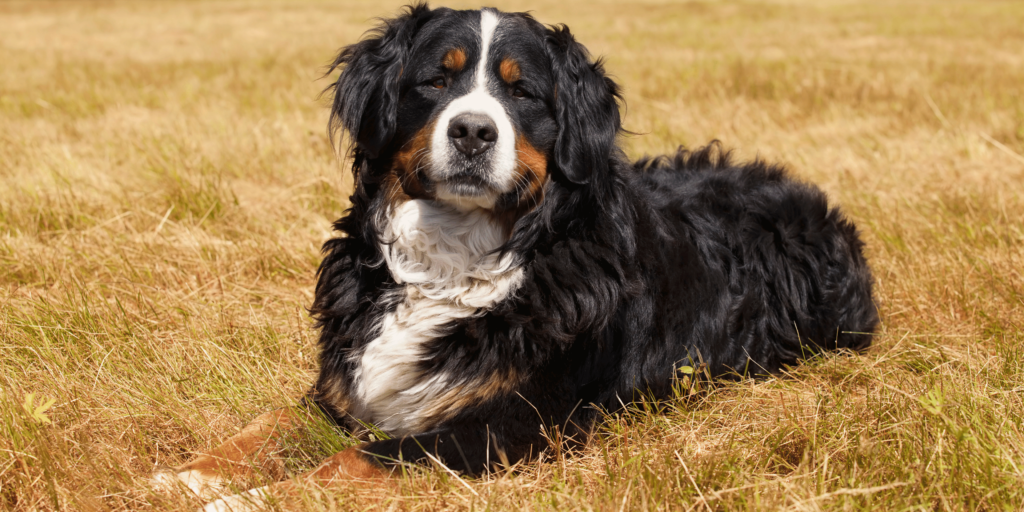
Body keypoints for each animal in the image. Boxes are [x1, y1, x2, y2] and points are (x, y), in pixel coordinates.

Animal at [149, 3, 872, 507]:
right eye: (435, 81)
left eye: (521, 93)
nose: (473, 131)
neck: (449, 261)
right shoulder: (343, 389)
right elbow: (267, 426)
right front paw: (183, 477)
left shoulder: (504, 426)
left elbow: (356, 461)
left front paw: (244, 501)